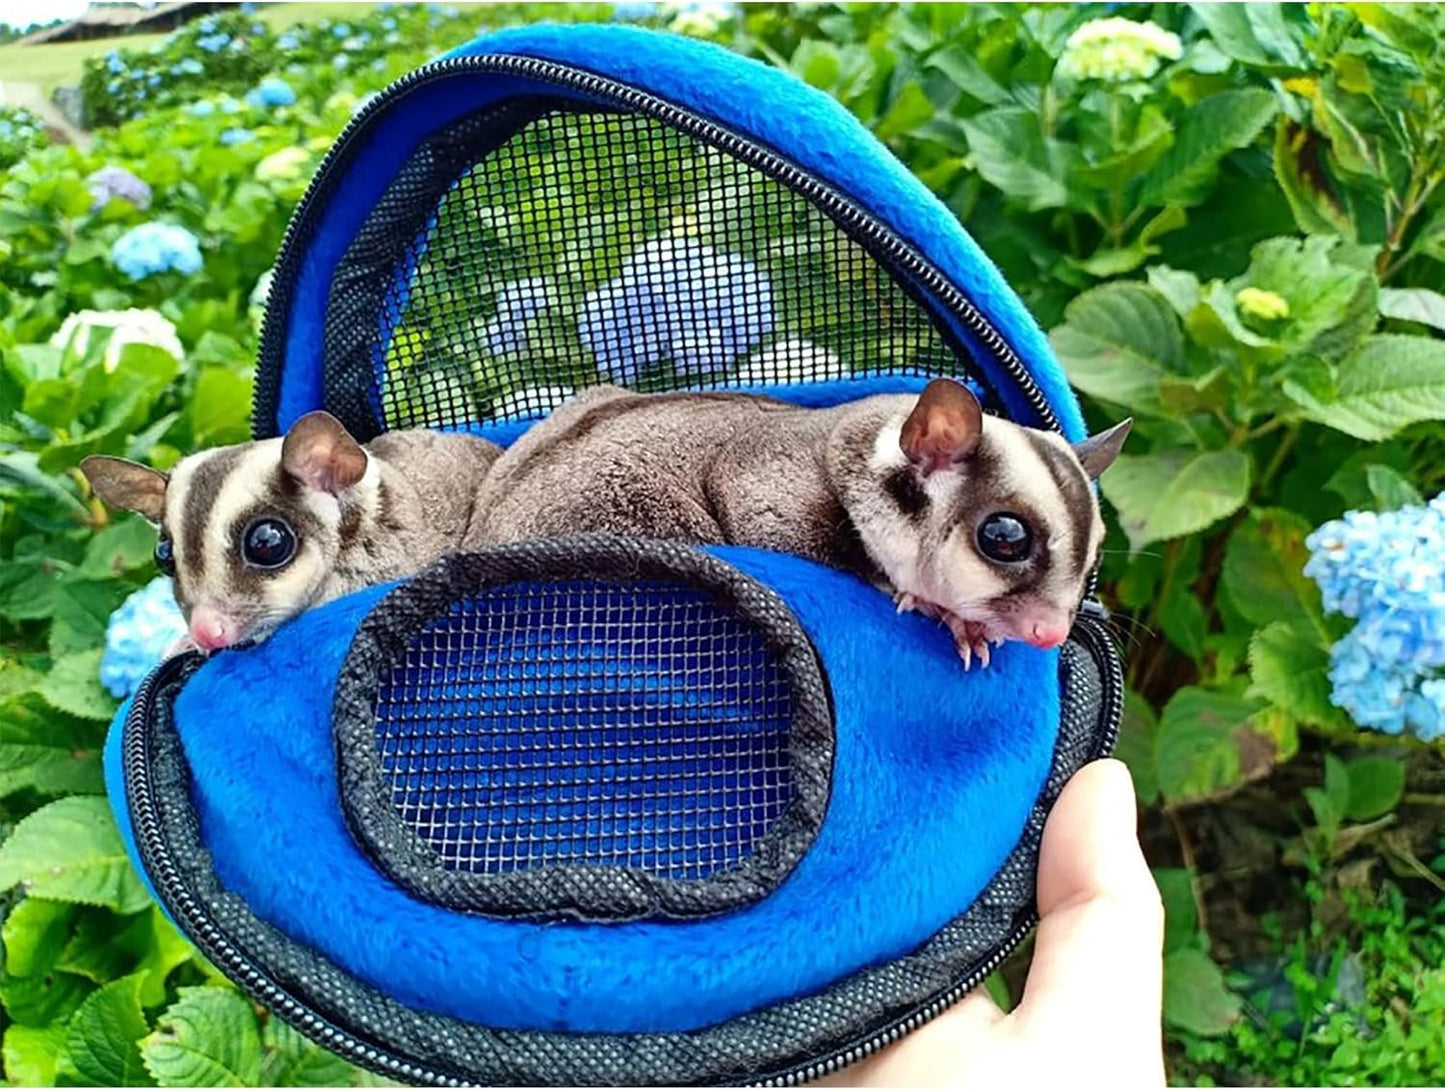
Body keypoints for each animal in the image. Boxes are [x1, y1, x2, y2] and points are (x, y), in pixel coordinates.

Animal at [471, 378, 1130, 668]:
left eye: (1094, 557)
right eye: (1004, 538)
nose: (1050, 633)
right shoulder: (768, 486)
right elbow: (771, 525)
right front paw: (941, 611)